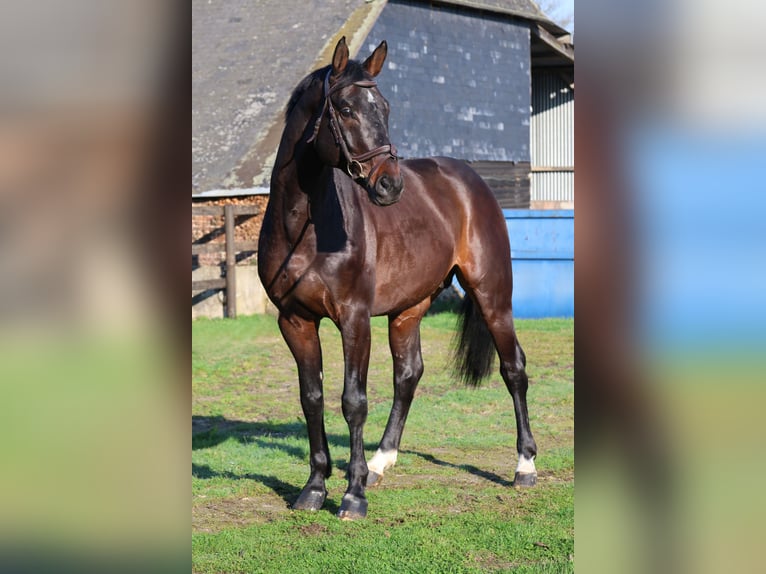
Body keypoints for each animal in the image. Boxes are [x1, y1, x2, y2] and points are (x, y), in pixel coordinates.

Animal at [257, 37, 537, 520]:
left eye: (384, 107)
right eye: (345, 109)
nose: (390, 185)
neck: (304, 227)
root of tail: (470, 180)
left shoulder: (354, 318)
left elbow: (353, 401)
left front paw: (352, 496)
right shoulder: (294, 321)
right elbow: (312, 398)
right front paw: (314, 488)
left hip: (493, 296)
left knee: (513, 369)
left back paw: (524, 467)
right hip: (409, 308)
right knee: (408, 374)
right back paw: (380, 462)